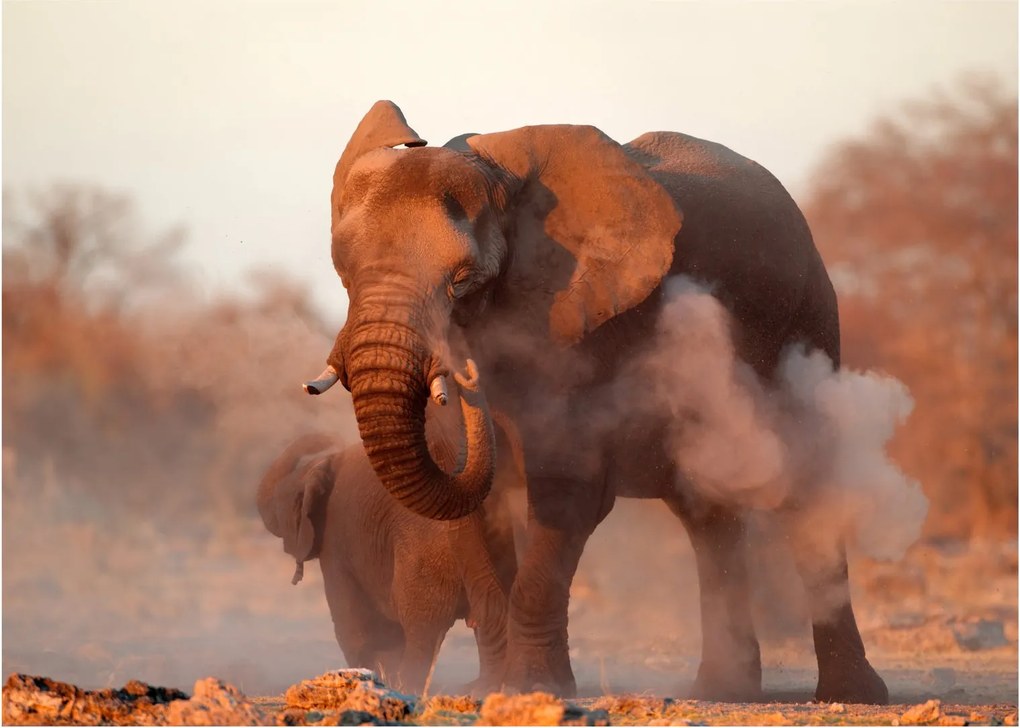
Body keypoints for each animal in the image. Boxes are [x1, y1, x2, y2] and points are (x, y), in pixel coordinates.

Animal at [258, 365, 525, 694]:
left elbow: (354, 627)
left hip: (424, 561)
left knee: (421, 631)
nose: (327, 437)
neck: (321, 466)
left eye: (282, 505)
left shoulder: (336, 543)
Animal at [302, 100, 889, 704]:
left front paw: (535, 688)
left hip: (809, 322)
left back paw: (851, 696)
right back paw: (723, 690)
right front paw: (491, 688)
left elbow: (567, 493)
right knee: (706, 514)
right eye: (343, 271)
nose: (464, 372)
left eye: (463, 282)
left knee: (808, 493)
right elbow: (474, 508)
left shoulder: (585, 327)